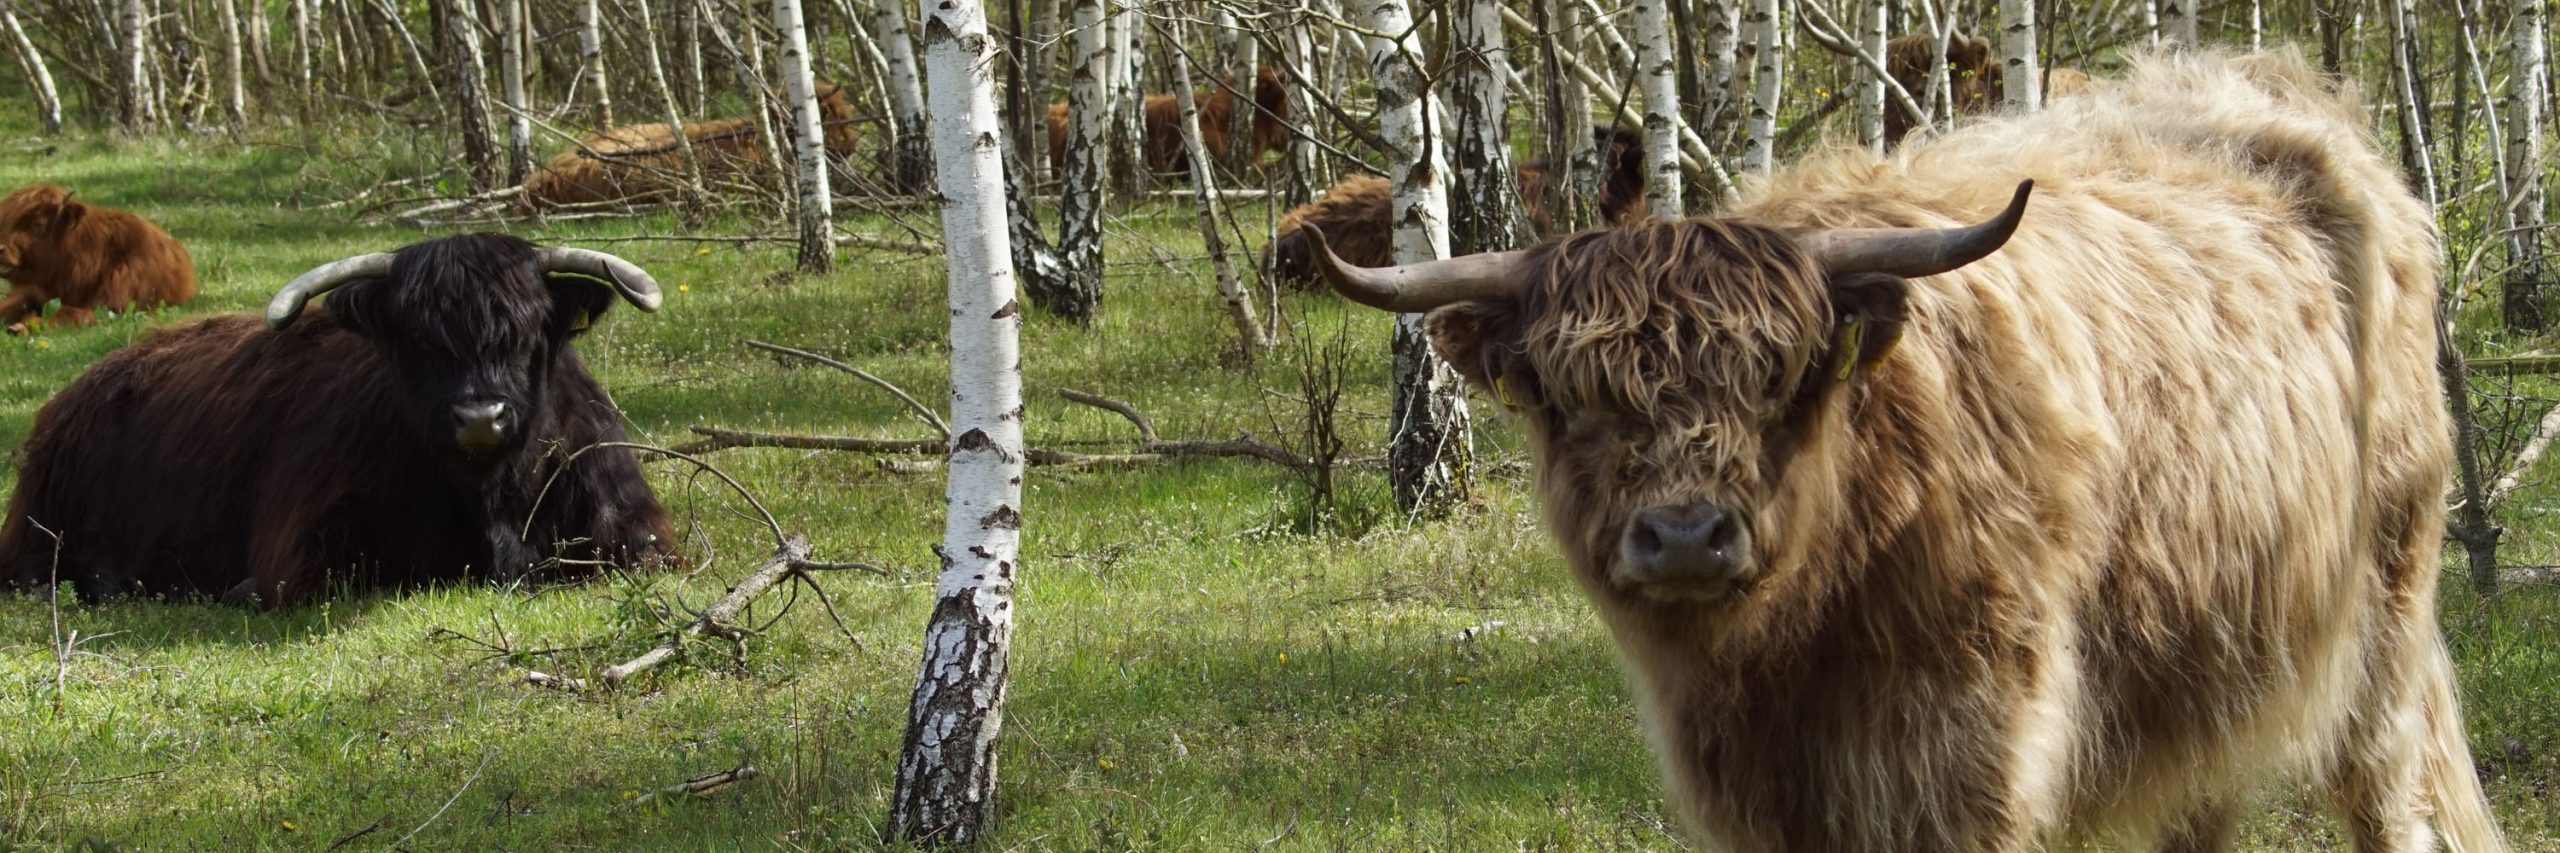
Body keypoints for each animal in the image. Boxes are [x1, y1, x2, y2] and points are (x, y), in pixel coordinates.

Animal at [0, 183, 197, 333]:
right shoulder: (31, 292)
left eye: (38, 224)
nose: (1, 248)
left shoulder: (112, 306)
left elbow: (69, 314)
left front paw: (20, 327)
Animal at [2, 233, 680, 604]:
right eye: (417, 338)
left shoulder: (639, 529)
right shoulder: (300, 555)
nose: (478, 417)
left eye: (526, 329)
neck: (491, 496)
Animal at [1300, 48, 2498, 850]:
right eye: (1572, 397)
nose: (1685, 538)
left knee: (2387, 794)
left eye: (1781, 377)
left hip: (2381, 625)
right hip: (2208, 651)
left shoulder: (1970, 757)